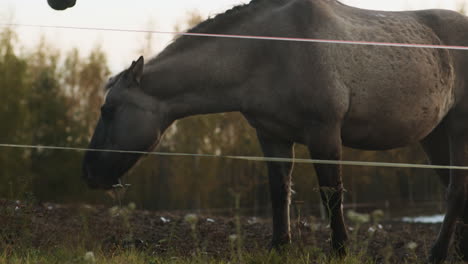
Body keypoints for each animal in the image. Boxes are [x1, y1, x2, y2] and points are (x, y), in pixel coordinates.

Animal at [83, 0, 468, 262]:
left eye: (108, 110)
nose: (89, 173)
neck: (267, 50)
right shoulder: (272, 136)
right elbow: (279, 191)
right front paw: (279, 247)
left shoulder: (324, 133)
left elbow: (331, 194)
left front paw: (340, 250)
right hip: (434, 137)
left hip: (457, 130)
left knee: (455, 191)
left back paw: (437, 253)